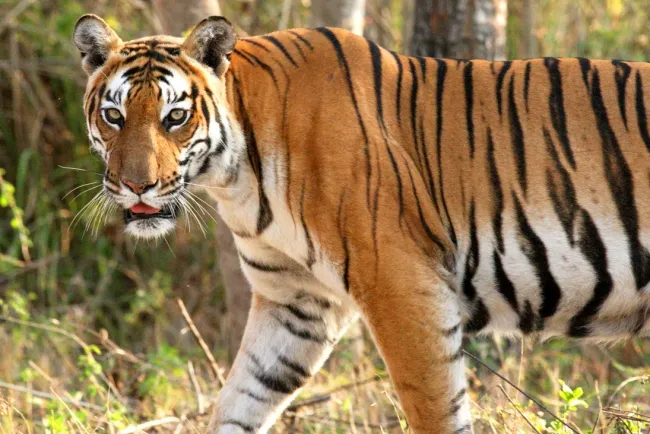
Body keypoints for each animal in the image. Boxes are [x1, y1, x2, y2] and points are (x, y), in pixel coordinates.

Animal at [72, 13, 650, 433]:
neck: (237, 175)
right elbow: (241, 399)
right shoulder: (295, 302)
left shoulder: (403, 288)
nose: (138, 186)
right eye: (114, 115)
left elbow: (435, 410)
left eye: (174, 117)